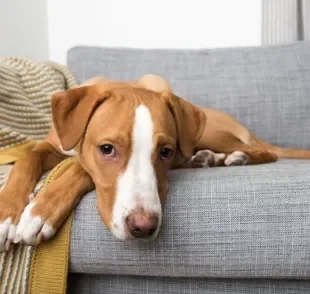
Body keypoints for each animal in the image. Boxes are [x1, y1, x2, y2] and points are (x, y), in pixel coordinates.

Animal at [0, 73, 310, 250]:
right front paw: (8, 212)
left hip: (211, 132)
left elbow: (80, 168)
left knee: (262, 151)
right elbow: (28, 156)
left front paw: (41, 211)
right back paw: (207, 158)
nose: (143, 228)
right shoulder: (53, 146)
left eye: (165, 152)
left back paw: (237, 157)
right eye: (107, 149)